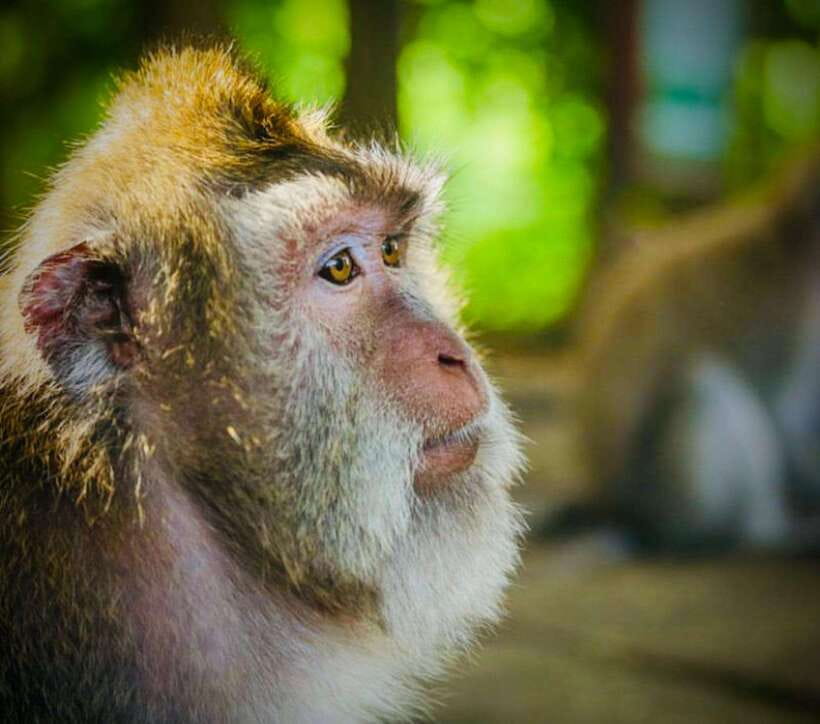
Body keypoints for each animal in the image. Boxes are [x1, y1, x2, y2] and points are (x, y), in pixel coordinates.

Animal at [571, 153, 820, 552]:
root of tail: (622, 511)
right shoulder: (788, 309)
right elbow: (786, 418)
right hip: (671, 497)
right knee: (701, 383)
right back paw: (763, 533)